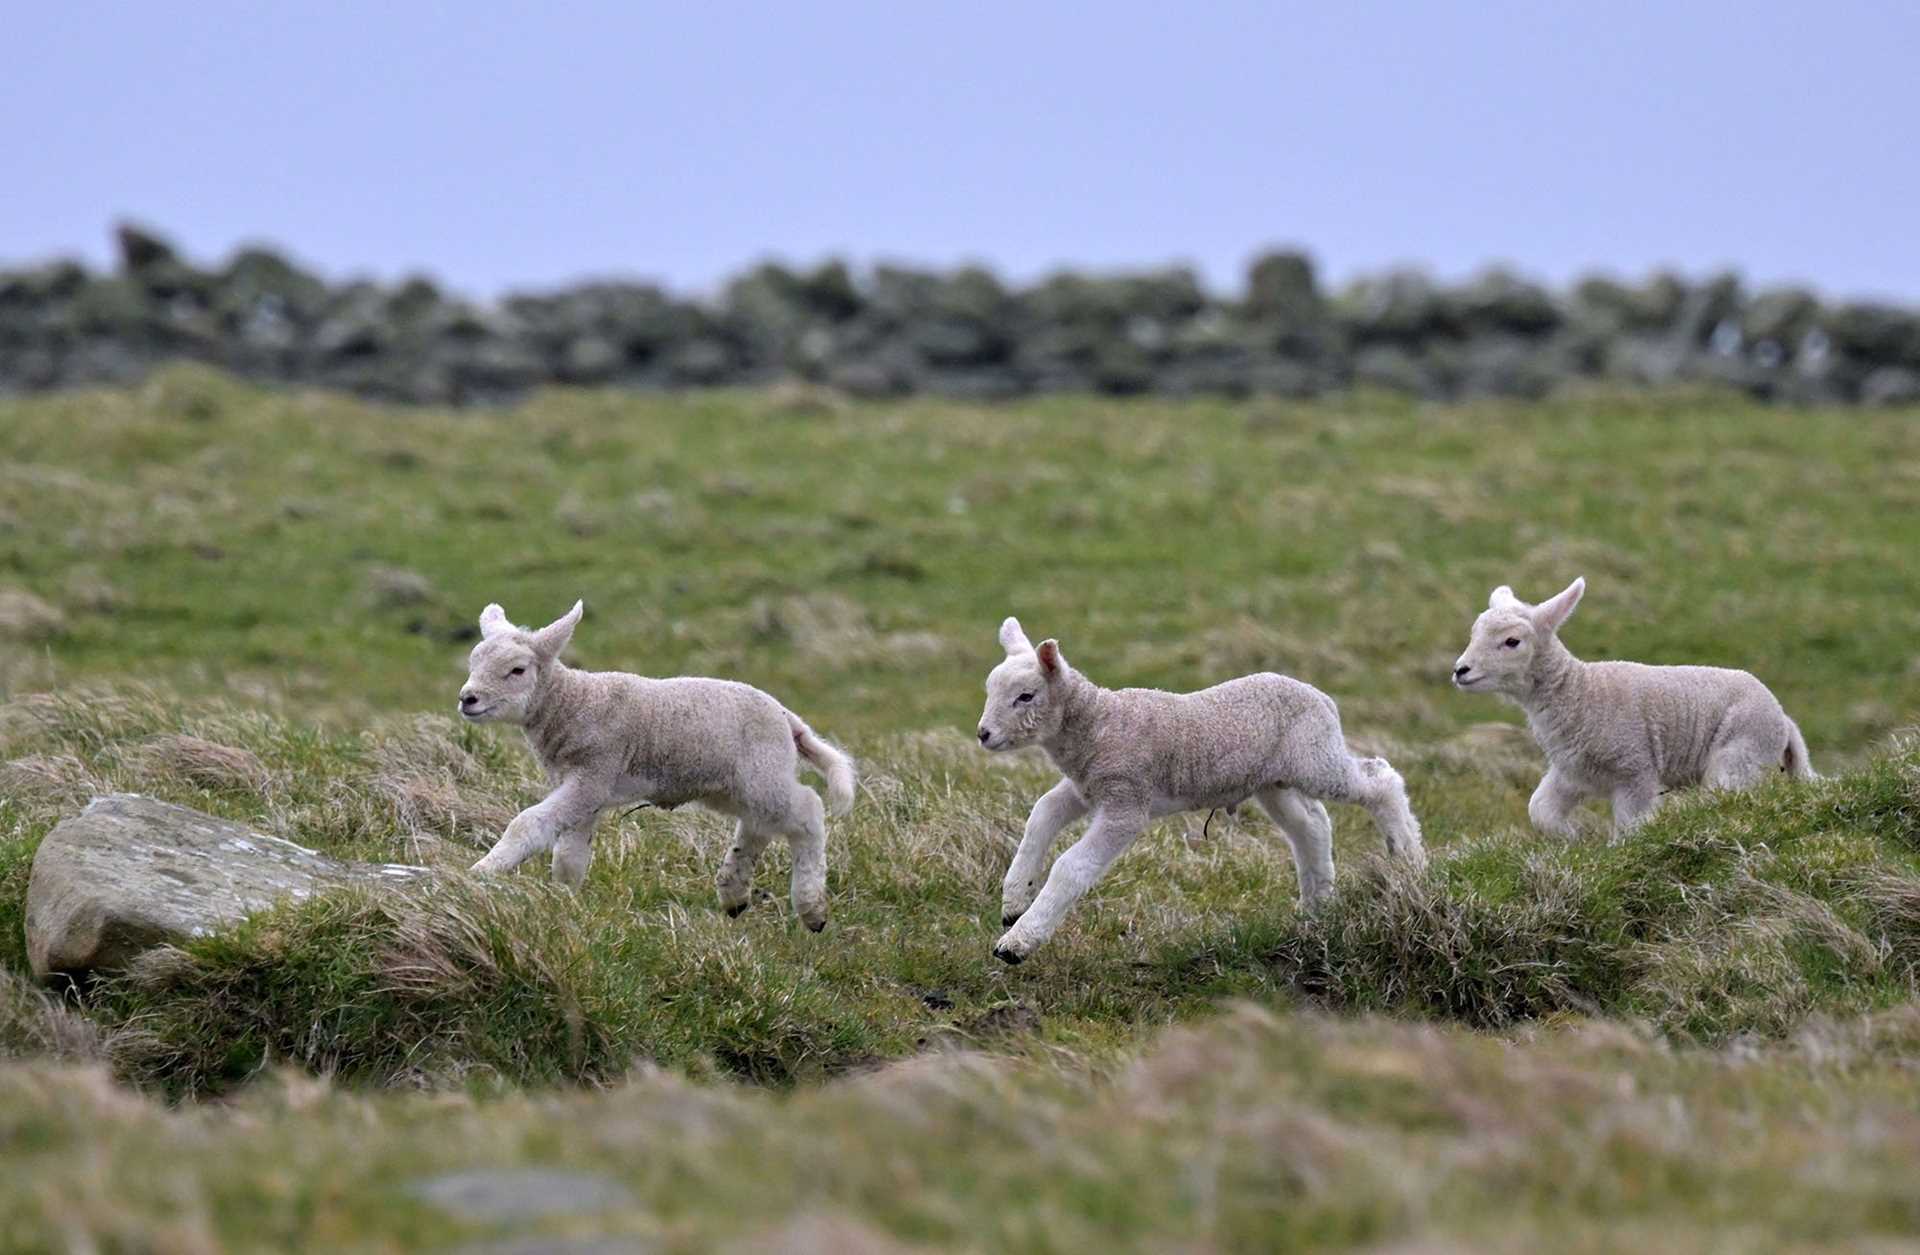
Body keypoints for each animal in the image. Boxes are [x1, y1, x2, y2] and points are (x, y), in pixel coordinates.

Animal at [456, 598, 856, 932]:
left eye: (517, 670)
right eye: (473, 664)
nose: (467, 698)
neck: (573, 704)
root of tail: (787, 717)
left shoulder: (593, 775)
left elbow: (527, 825)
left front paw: (481, 873)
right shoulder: (585, 790)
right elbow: (570, 855)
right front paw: (564, 900)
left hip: (762, 774)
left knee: (808, 810)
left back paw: (811, 908)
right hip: (734, 785)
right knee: (758, 826)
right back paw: (734, 895)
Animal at [975, 617, 1428, 963]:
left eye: (1025, 696)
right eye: (990, 690)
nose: (983, 734)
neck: (1098, 724)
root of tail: (1320, 697)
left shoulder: (1125, 801)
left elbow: (1070, 866)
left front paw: (1017, 942)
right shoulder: (1086, 787)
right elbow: (1041, 813)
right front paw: (1014, 900)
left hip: (1316, 759)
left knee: (1381, 781)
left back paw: (1409, 858)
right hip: (1272, 780)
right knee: (1312, 825)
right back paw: (1317, 909)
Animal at [1451, 583, 1812, 840]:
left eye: (1512, 642)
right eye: (1473, 634)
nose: (1460, 671)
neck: (1579, 694)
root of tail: (1784, 719)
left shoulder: (1634, 772)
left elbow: (1630, 828)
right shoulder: (1572, 772)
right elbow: (1539, 810)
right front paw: (1575, 838)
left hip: (1741, 752)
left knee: (1723, 797)